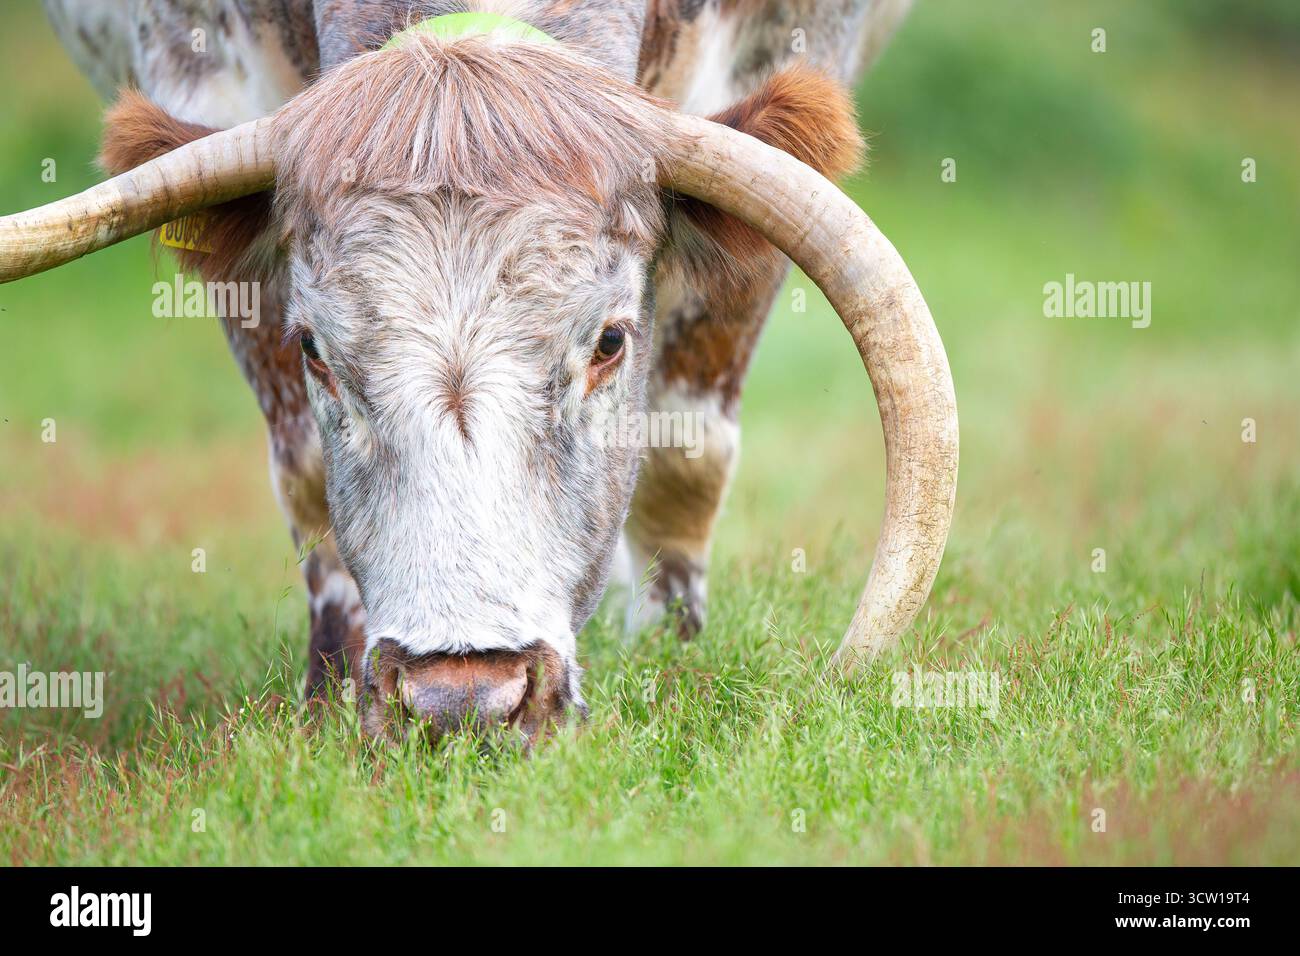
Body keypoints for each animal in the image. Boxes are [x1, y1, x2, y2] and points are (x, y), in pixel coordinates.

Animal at [2, 0, 957, 742]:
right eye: (313, 349)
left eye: (610, 342)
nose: (462, 699)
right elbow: (304, 473)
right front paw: (327, 695)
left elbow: (688, 457)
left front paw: (667, 655)